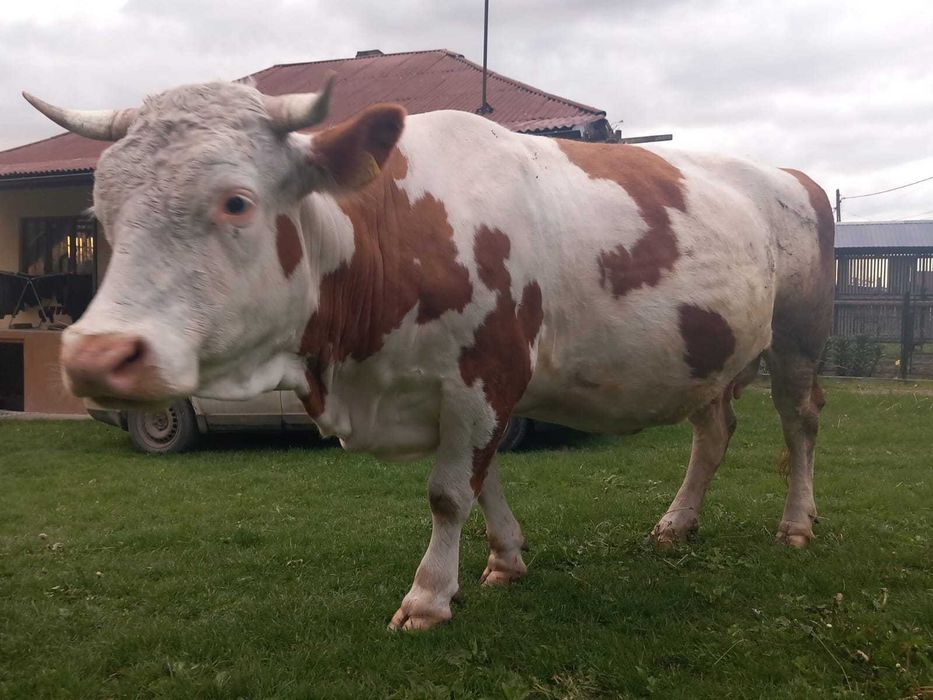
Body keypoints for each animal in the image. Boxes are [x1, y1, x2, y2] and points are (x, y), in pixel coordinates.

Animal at [25, 79, 834, 630]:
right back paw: (676, 524)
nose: (97, 356)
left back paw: (796, 525)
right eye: (101, 212)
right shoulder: (468, 390)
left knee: (799, 426)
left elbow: (449, 491)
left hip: (798, 339)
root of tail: (789, 175)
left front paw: (428, 596)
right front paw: (506, 560)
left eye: (236, 202)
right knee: (713, 431)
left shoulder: (485, 374)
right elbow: (483, 481)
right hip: (713, 355)